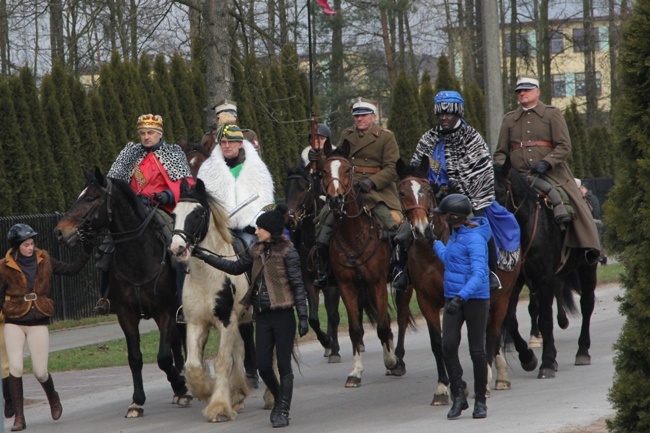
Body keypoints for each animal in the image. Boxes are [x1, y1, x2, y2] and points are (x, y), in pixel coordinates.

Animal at [52, 167, 190, 416]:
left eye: (91, 197)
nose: (60, 232)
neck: (139, 258)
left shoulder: (165, 311)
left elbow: (163, 358)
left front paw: (180, 384)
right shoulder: (126, 315)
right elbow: (135, 358)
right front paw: (137, 401)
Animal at [170, 177, 251, 420]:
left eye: (197, 214)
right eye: (174, 214)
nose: (177, 248)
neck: (208, 275)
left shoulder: (226, 321)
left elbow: (223, 361)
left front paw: (219, 407)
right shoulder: (197, 323)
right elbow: (193, 364)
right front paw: (205, 390)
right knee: (240, 349)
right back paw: (238, 393)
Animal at [318, 143, 402, 388]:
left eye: (347, 169)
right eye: (323, 171)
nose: (335, 199)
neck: (353, 234)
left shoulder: (377, 283)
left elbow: (383, 326)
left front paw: (392, 361)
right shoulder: (347, 286)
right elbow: (356, 330)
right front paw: (355, 372)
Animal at [390, 158, 520, 402]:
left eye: (426, 190)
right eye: (402, 193)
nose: (421, 229)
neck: (431, 254)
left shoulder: (454, 299)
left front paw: (462, 385)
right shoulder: (426, 301)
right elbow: (438, 343)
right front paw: (442, 387)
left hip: (503, 297)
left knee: (492, 334)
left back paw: (490, 377)